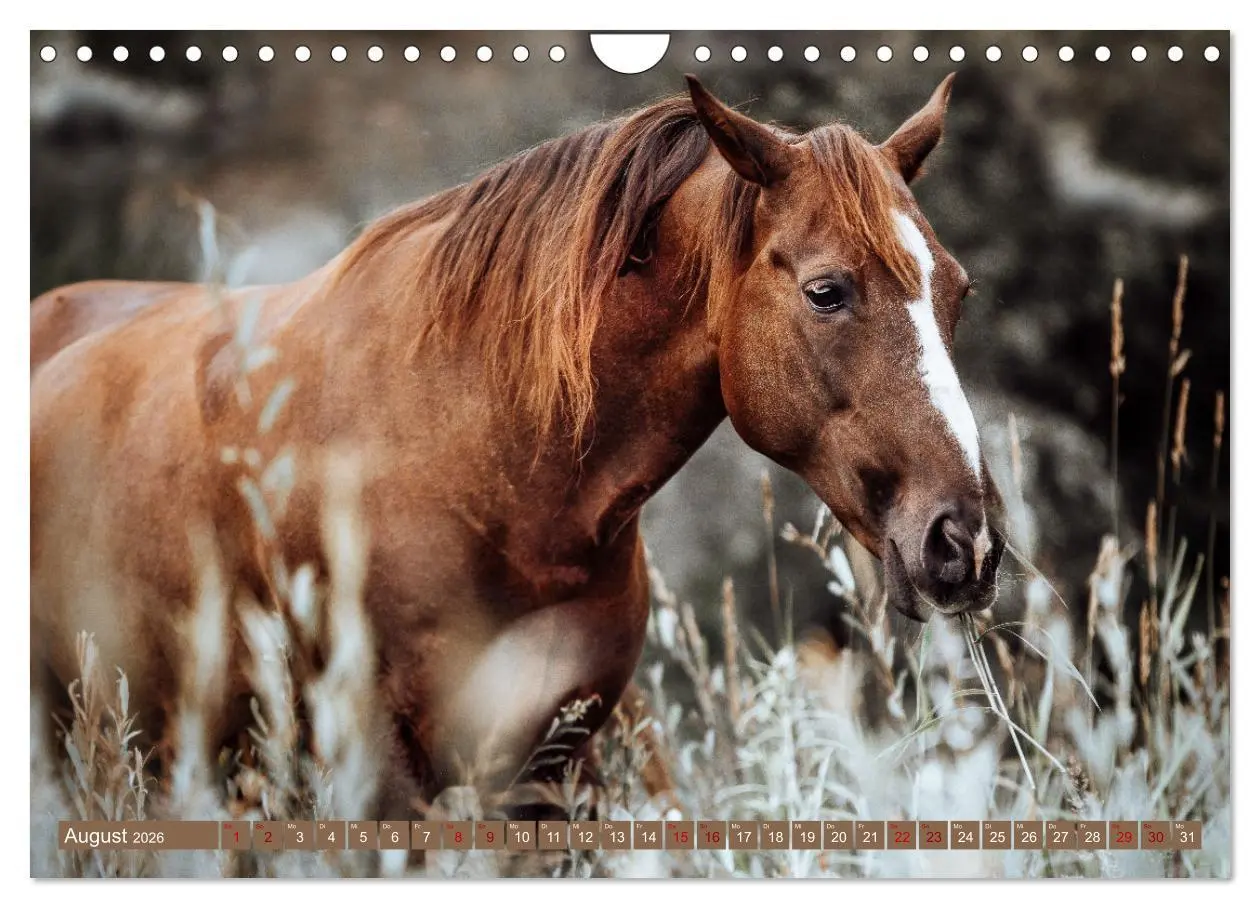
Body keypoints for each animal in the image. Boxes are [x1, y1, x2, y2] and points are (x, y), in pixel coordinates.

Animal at [31, 74, 1005, 814]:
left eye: (957, 291)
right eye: (827, 291)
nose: (964, 542)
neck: (484, 465)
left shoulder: (552, 765)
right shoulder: (383, 768)